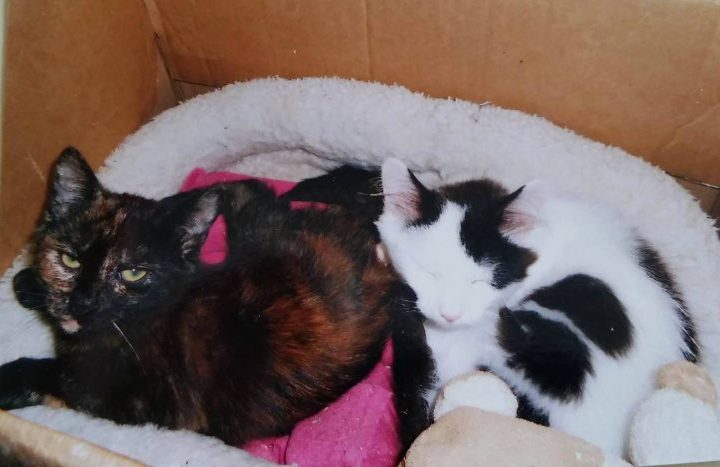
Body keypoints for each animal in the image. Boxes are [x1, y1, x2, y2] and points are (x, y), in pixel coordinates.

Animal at [1, 147, 394, 447]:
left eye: (133, 273)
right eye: (70, 259)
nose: (82, 302)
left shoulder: (127, 400)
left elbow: (56, 379)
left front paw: (10, 379)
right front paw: (28, 282)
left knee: (253, 191)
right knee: (253, 189)